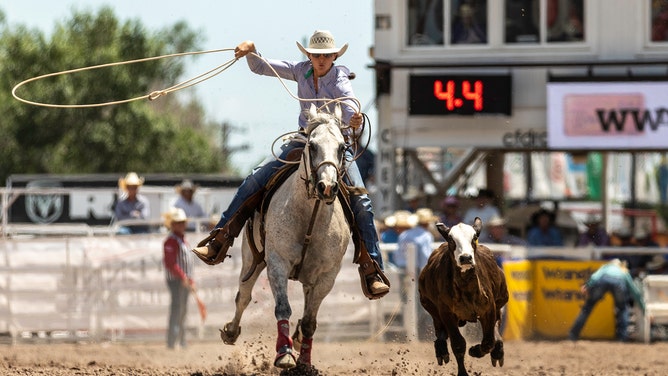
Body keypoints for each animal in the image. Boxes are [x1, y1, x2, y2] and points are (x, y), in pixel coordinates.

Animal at [222, 103, 352, 370]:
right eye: (312, 145)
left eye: (342, 147)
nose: (327, 187)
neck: (310, 219)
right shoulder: (277, 264)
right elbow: (283, 308)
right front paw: (284, 354)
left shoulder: (327, 276)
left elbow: (310, 321)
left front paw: (304, 362)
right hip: (251, 259)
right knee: (243, 296)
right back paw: (231, 331)